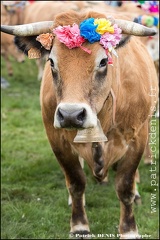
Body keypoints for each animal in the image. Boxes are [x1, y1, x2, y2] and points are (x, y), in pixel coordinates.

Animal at [1, 10, 158, 239]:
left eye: (103, 61)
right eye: (51, 61)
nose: (71, 114)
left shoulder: (137, 137)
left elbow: (125, 185)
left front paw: (129, 229)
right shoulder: (56, 139)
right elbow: (75, 181)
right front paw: (79, 226)